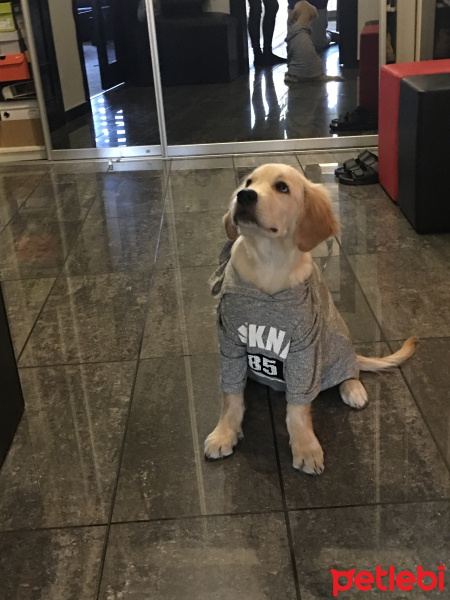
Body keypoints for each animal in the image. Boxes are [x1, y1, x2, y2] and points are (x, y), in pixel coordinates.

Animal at [206, 164, 416, 474]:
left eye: (282, 187)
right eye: (248, 182)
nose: (244, 196)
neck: (268, 263)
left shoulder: (305, 347)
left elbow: (298, 407)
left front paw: (305, 446)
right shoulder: (230, 340)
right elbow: (231, 396)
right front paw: (224, 433)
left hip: (337, 337)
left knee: (349, 367)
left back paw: (353, 387)